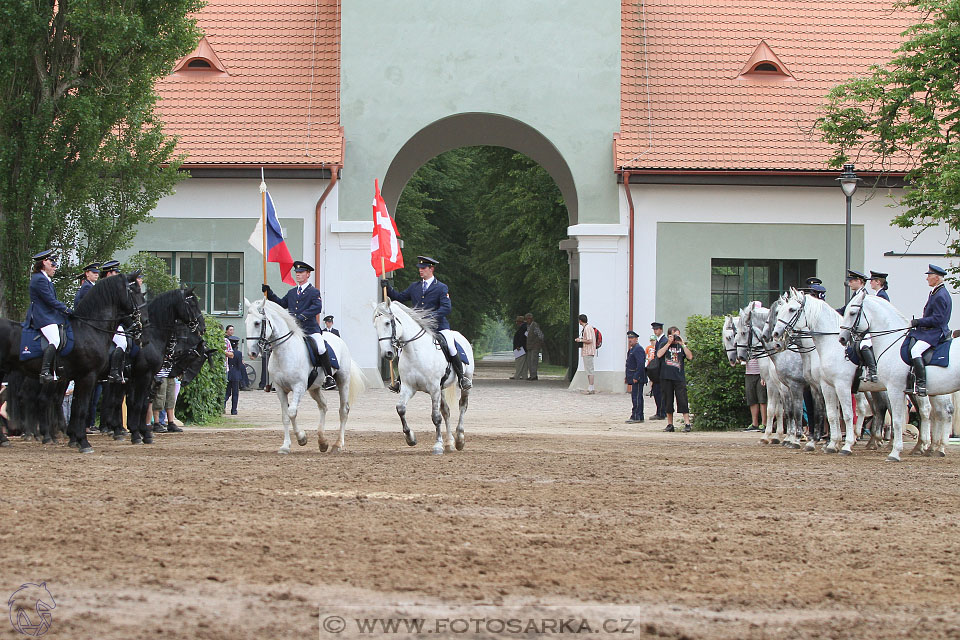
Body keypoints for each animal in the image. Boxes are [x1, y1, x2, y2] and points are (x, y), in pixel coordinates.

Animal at [246, 298, 366, 456]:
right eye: (246, 322)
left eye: (257, 323)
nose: (252, 353)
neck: (284, 352)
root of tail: (338, 339)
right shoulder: (280, 389)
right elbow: (285, 416)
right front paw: (285, 446)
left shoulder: (299, 387)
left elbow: (292, 412)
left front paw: (301, 438)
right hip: (314, 388)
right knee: (323, 406)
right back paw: (322, 441)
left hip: (343, 380)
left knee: (343, 410)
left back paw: (337, 444)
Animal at [372, 300, 472, 456]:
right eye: (375, 325)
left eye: (388, 323)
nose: (387, 353)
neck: (415, 351)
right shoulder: (408, 387)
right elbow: (401, 409)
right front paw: (410, 438)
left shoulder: (434, 388)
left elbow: (435, 417)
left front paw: (437, 445)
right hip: (441, 388)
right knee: (446, 411)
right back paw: (449, 443)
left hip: (465, 381)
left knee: (462, 405)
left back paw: (460, 439)